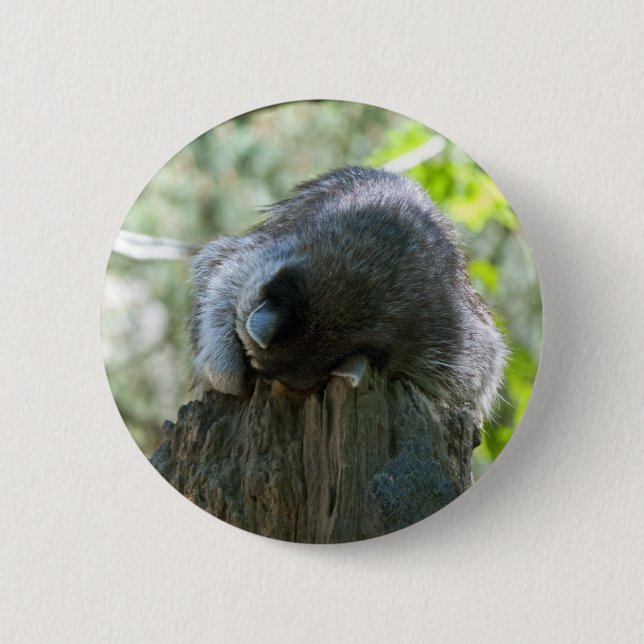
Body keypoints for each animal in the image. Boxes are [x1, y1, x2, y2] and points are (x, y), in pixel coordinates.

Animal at [189, 167, 507, 419]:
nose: (256, 380)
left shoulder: (443, 332)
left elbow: (478, 372)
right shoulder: (272, 248)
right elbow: (221, 274)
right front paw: (223, 364)